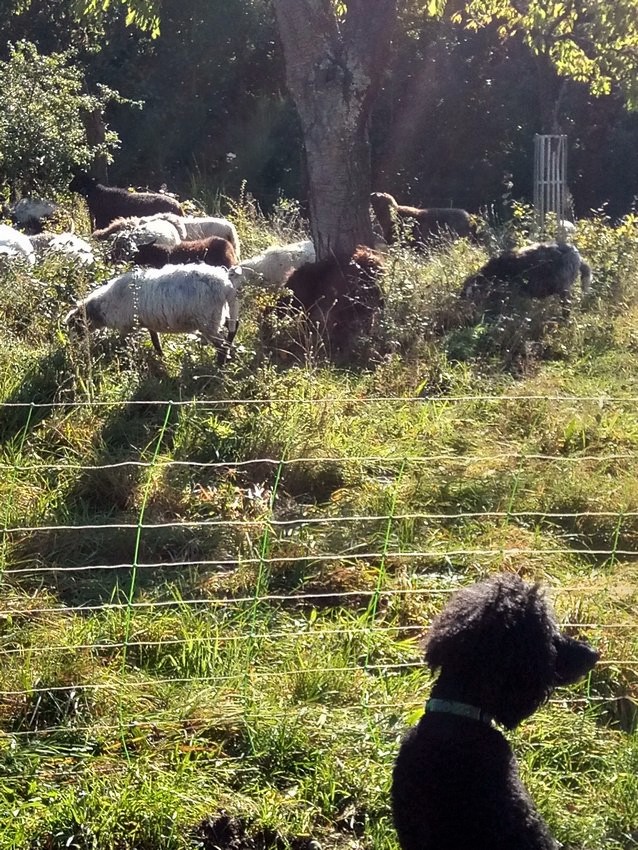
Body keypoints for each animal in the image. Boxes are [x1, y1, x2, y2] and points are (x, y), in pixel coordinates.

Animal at [66, 264, 242, 360]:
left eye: (75, 325)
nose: (72, 347)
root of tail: (225, 285)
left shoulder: (127, 327)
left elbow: (123, 343)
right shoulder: (149, 323)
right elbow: (155, 340)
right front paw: (161, 356)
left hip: (208, 321)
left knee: (222, 345)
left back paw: (220, 365)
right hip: (218, 315)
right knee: (234, 326)